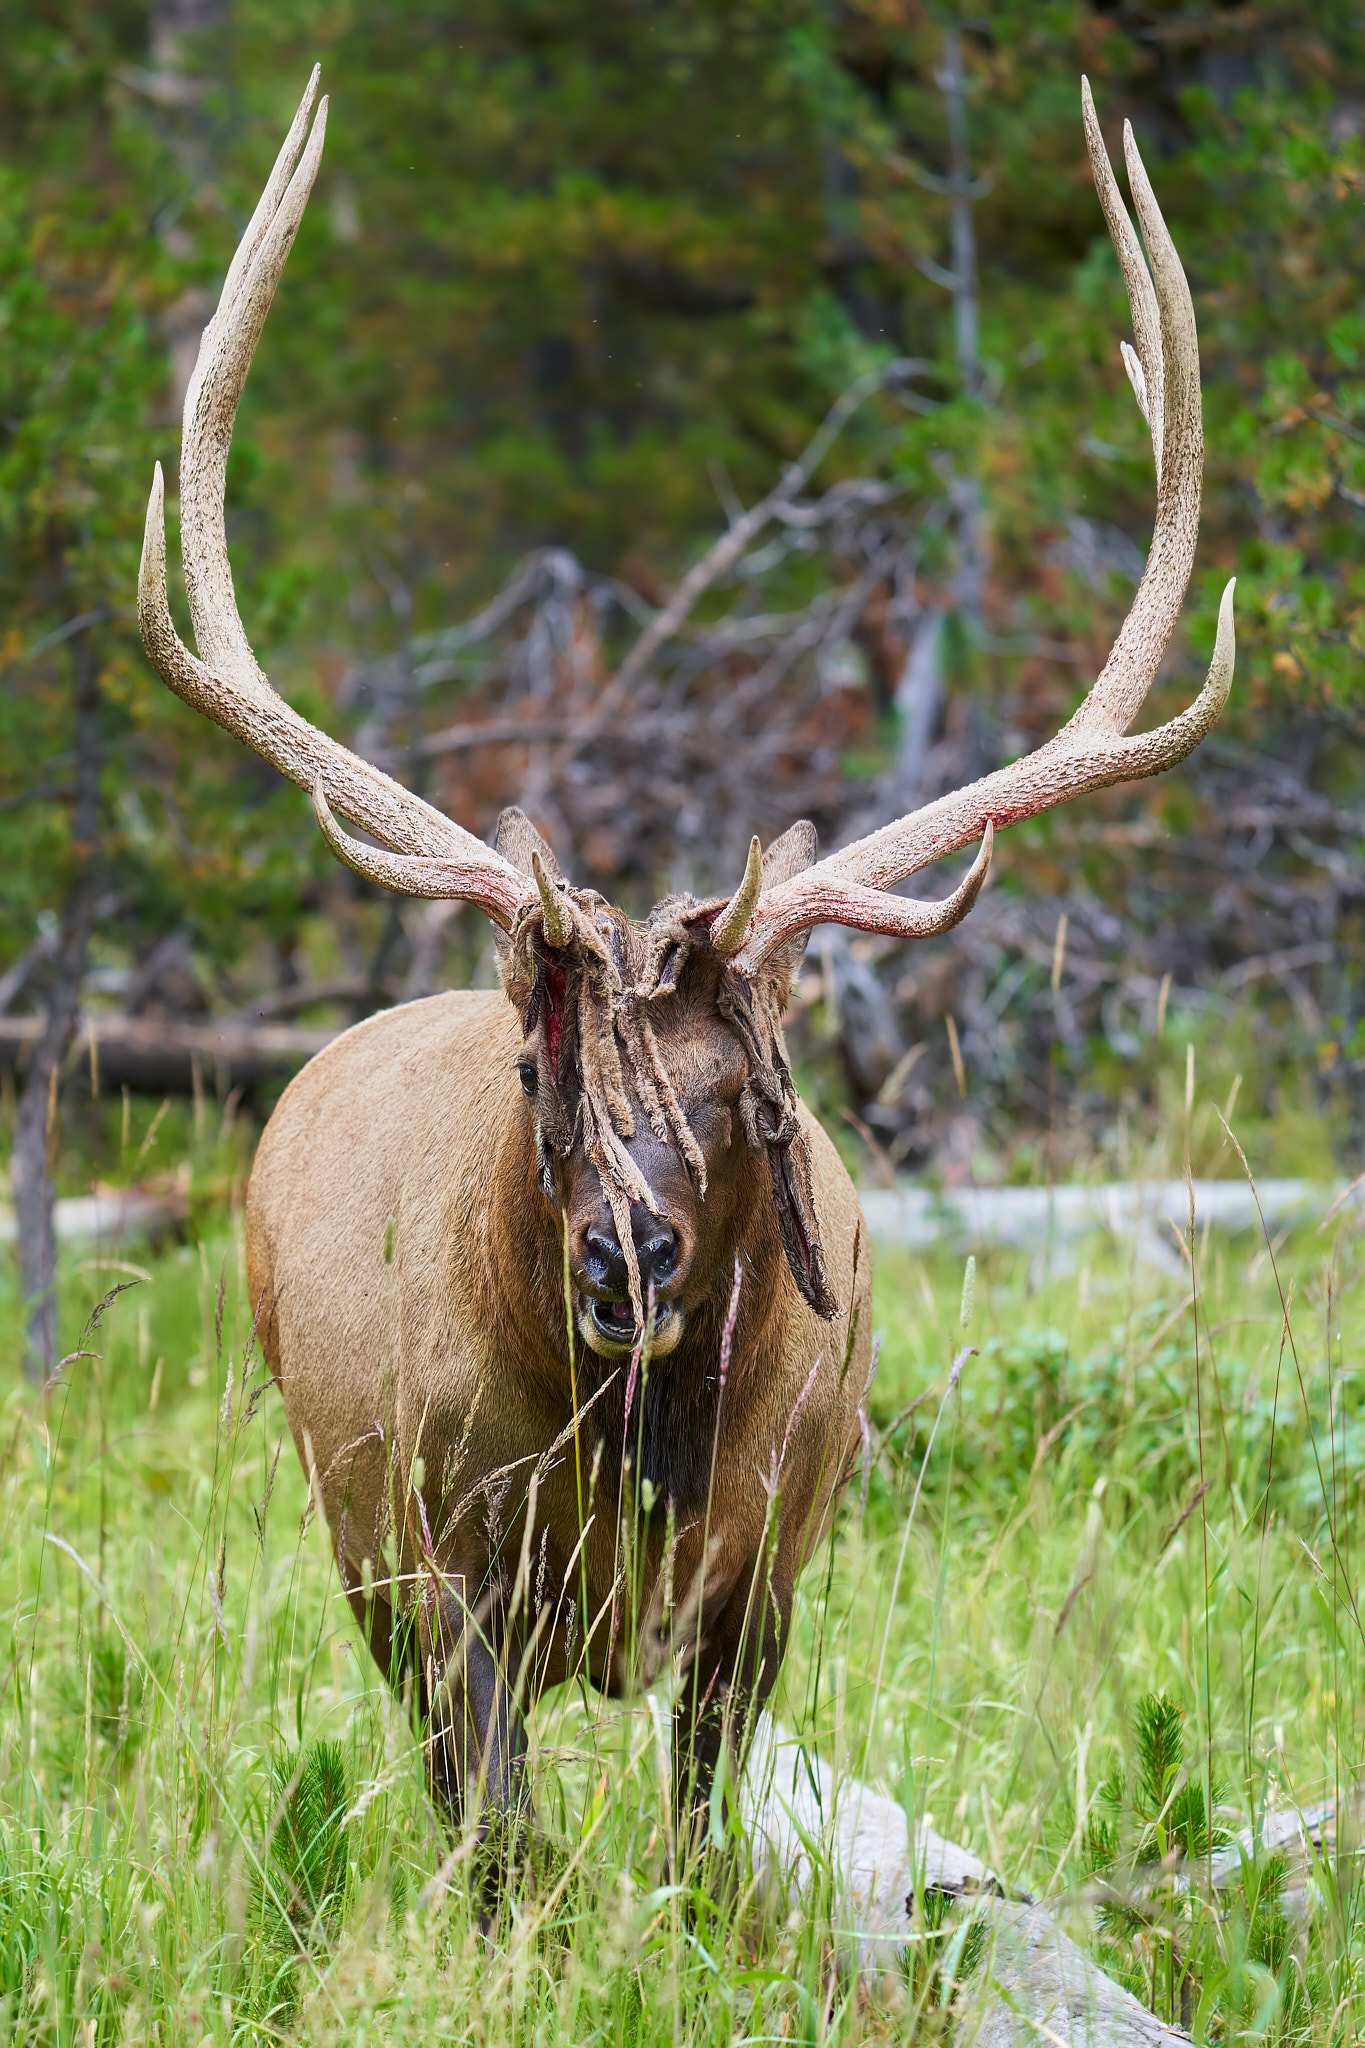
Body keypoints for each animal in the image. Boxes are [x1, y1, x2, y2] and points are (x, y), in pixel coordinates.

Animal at [136, 68, 1234, 1893]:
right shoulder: (435, 1570)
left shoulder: (764, 1577)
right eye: (543, 1073)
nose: (625, 1258)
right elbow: (499, 1850)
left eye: (742, 1093)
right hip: (349, 1531)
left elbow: (701, 1844)